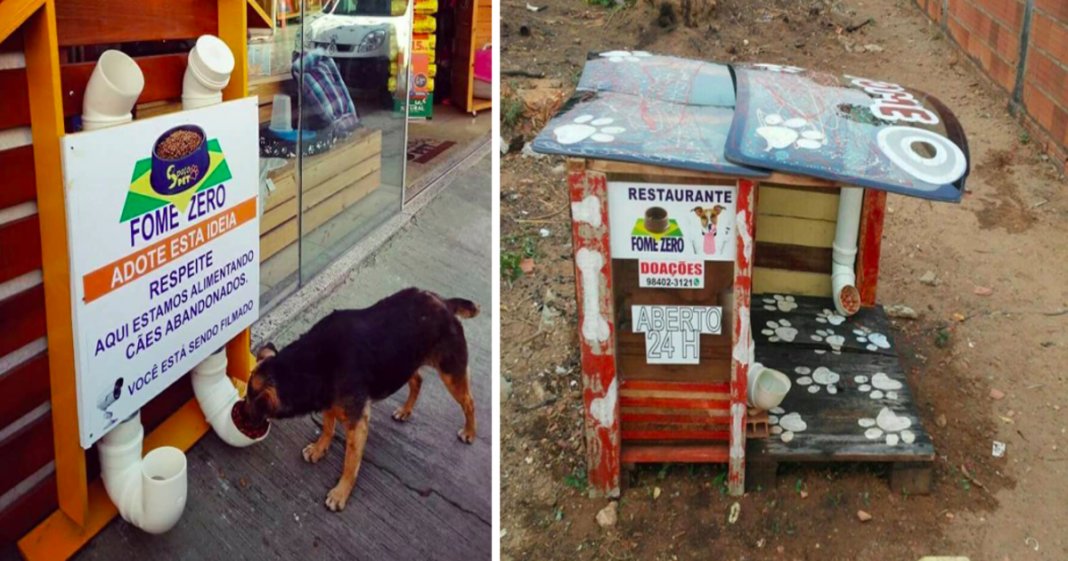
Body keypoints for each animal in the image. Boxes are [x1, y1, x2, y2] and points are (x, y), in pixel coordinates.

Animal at [242, 286, 480, 508]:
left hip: (451, 374)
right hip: (403, 363)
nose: (240, 416)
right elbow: (327, 428)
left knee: (469, 402)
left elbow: (350, 462)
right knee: (418, 381)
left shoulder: (358, 423)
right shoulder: (328, 401)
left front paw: (340, 493)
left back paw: (469, 432)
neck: (310, 364)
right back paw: (405, 411)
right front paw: (320, 448)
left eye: (252, 403)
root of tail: (445, 302)